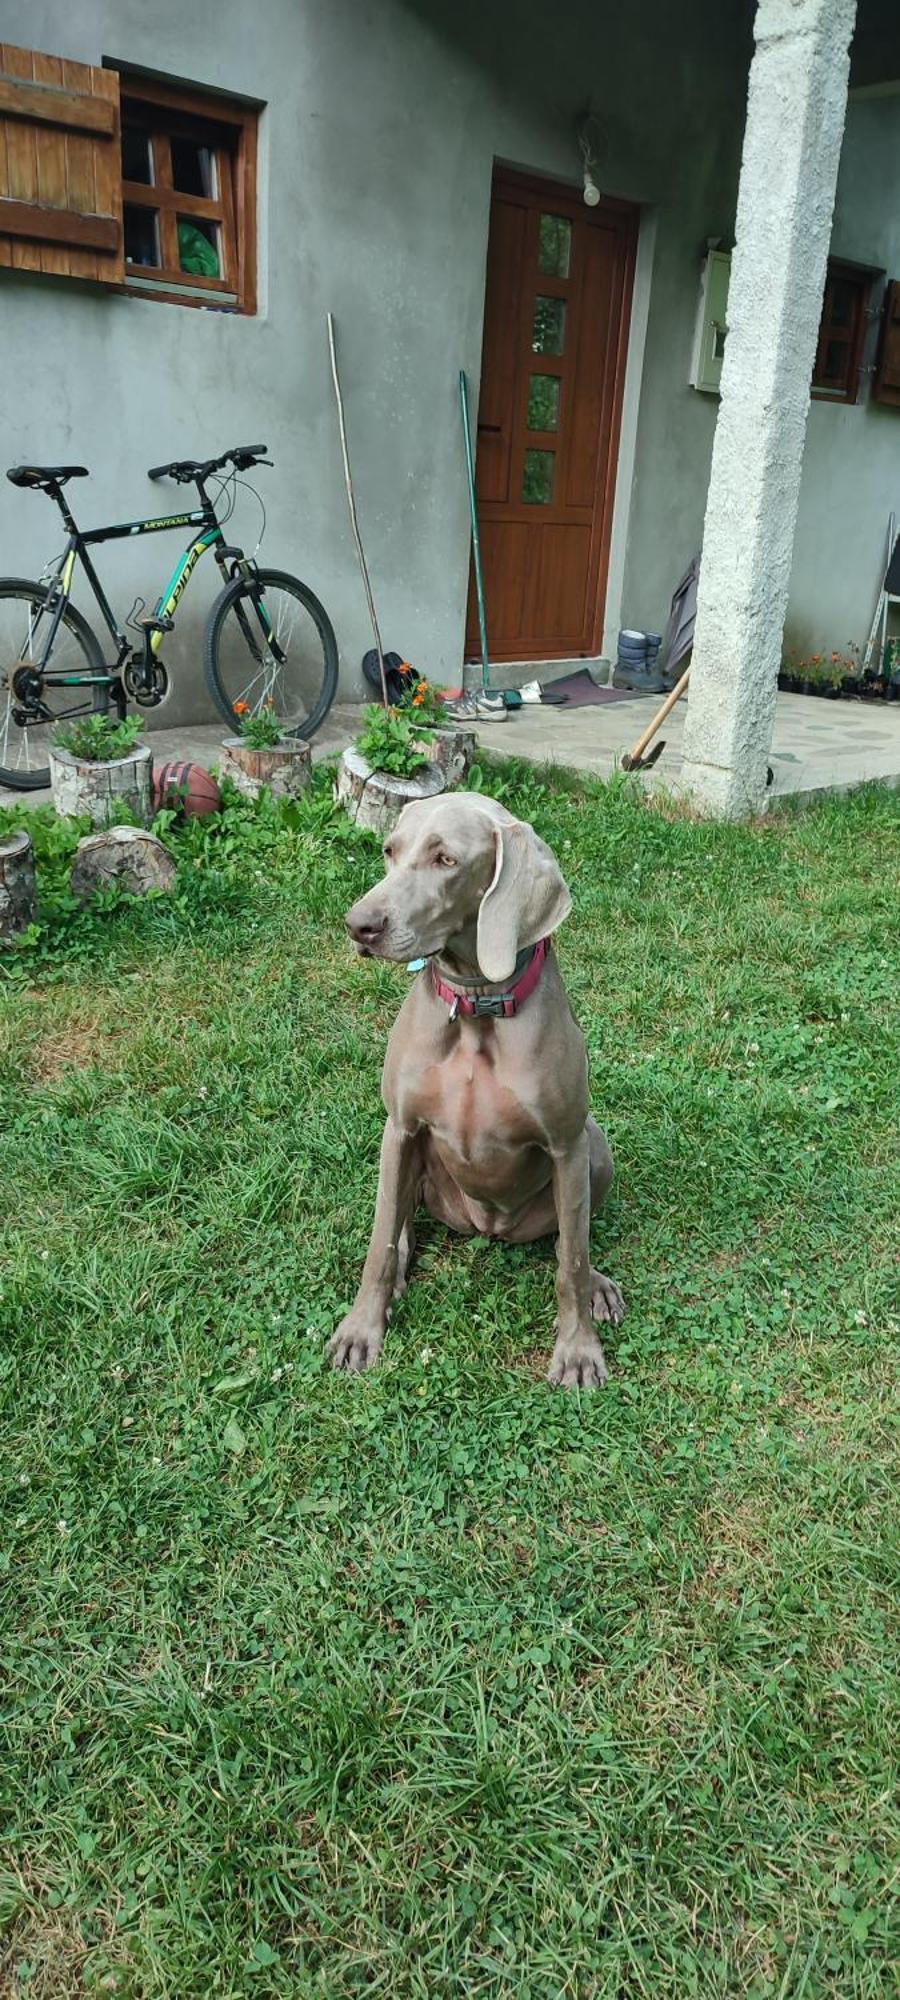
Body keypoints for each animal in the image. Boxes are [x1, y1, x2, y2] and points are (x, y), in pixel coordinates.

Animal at [332, 788, 624, 1384]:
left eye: (446, 859)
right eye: (389, 850)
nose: (359, 925)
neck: (475, 1008)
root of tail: (488, 1228)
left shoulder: (566, 1145)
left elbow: (572, 1260)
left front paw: (578, 1349)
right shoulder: (400, 1127)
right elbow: (379, 1242)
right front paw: (360, 1329)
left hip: (595, 1143)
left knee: (572, 1235)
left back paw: (600, 1286)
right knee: (399, 1225)